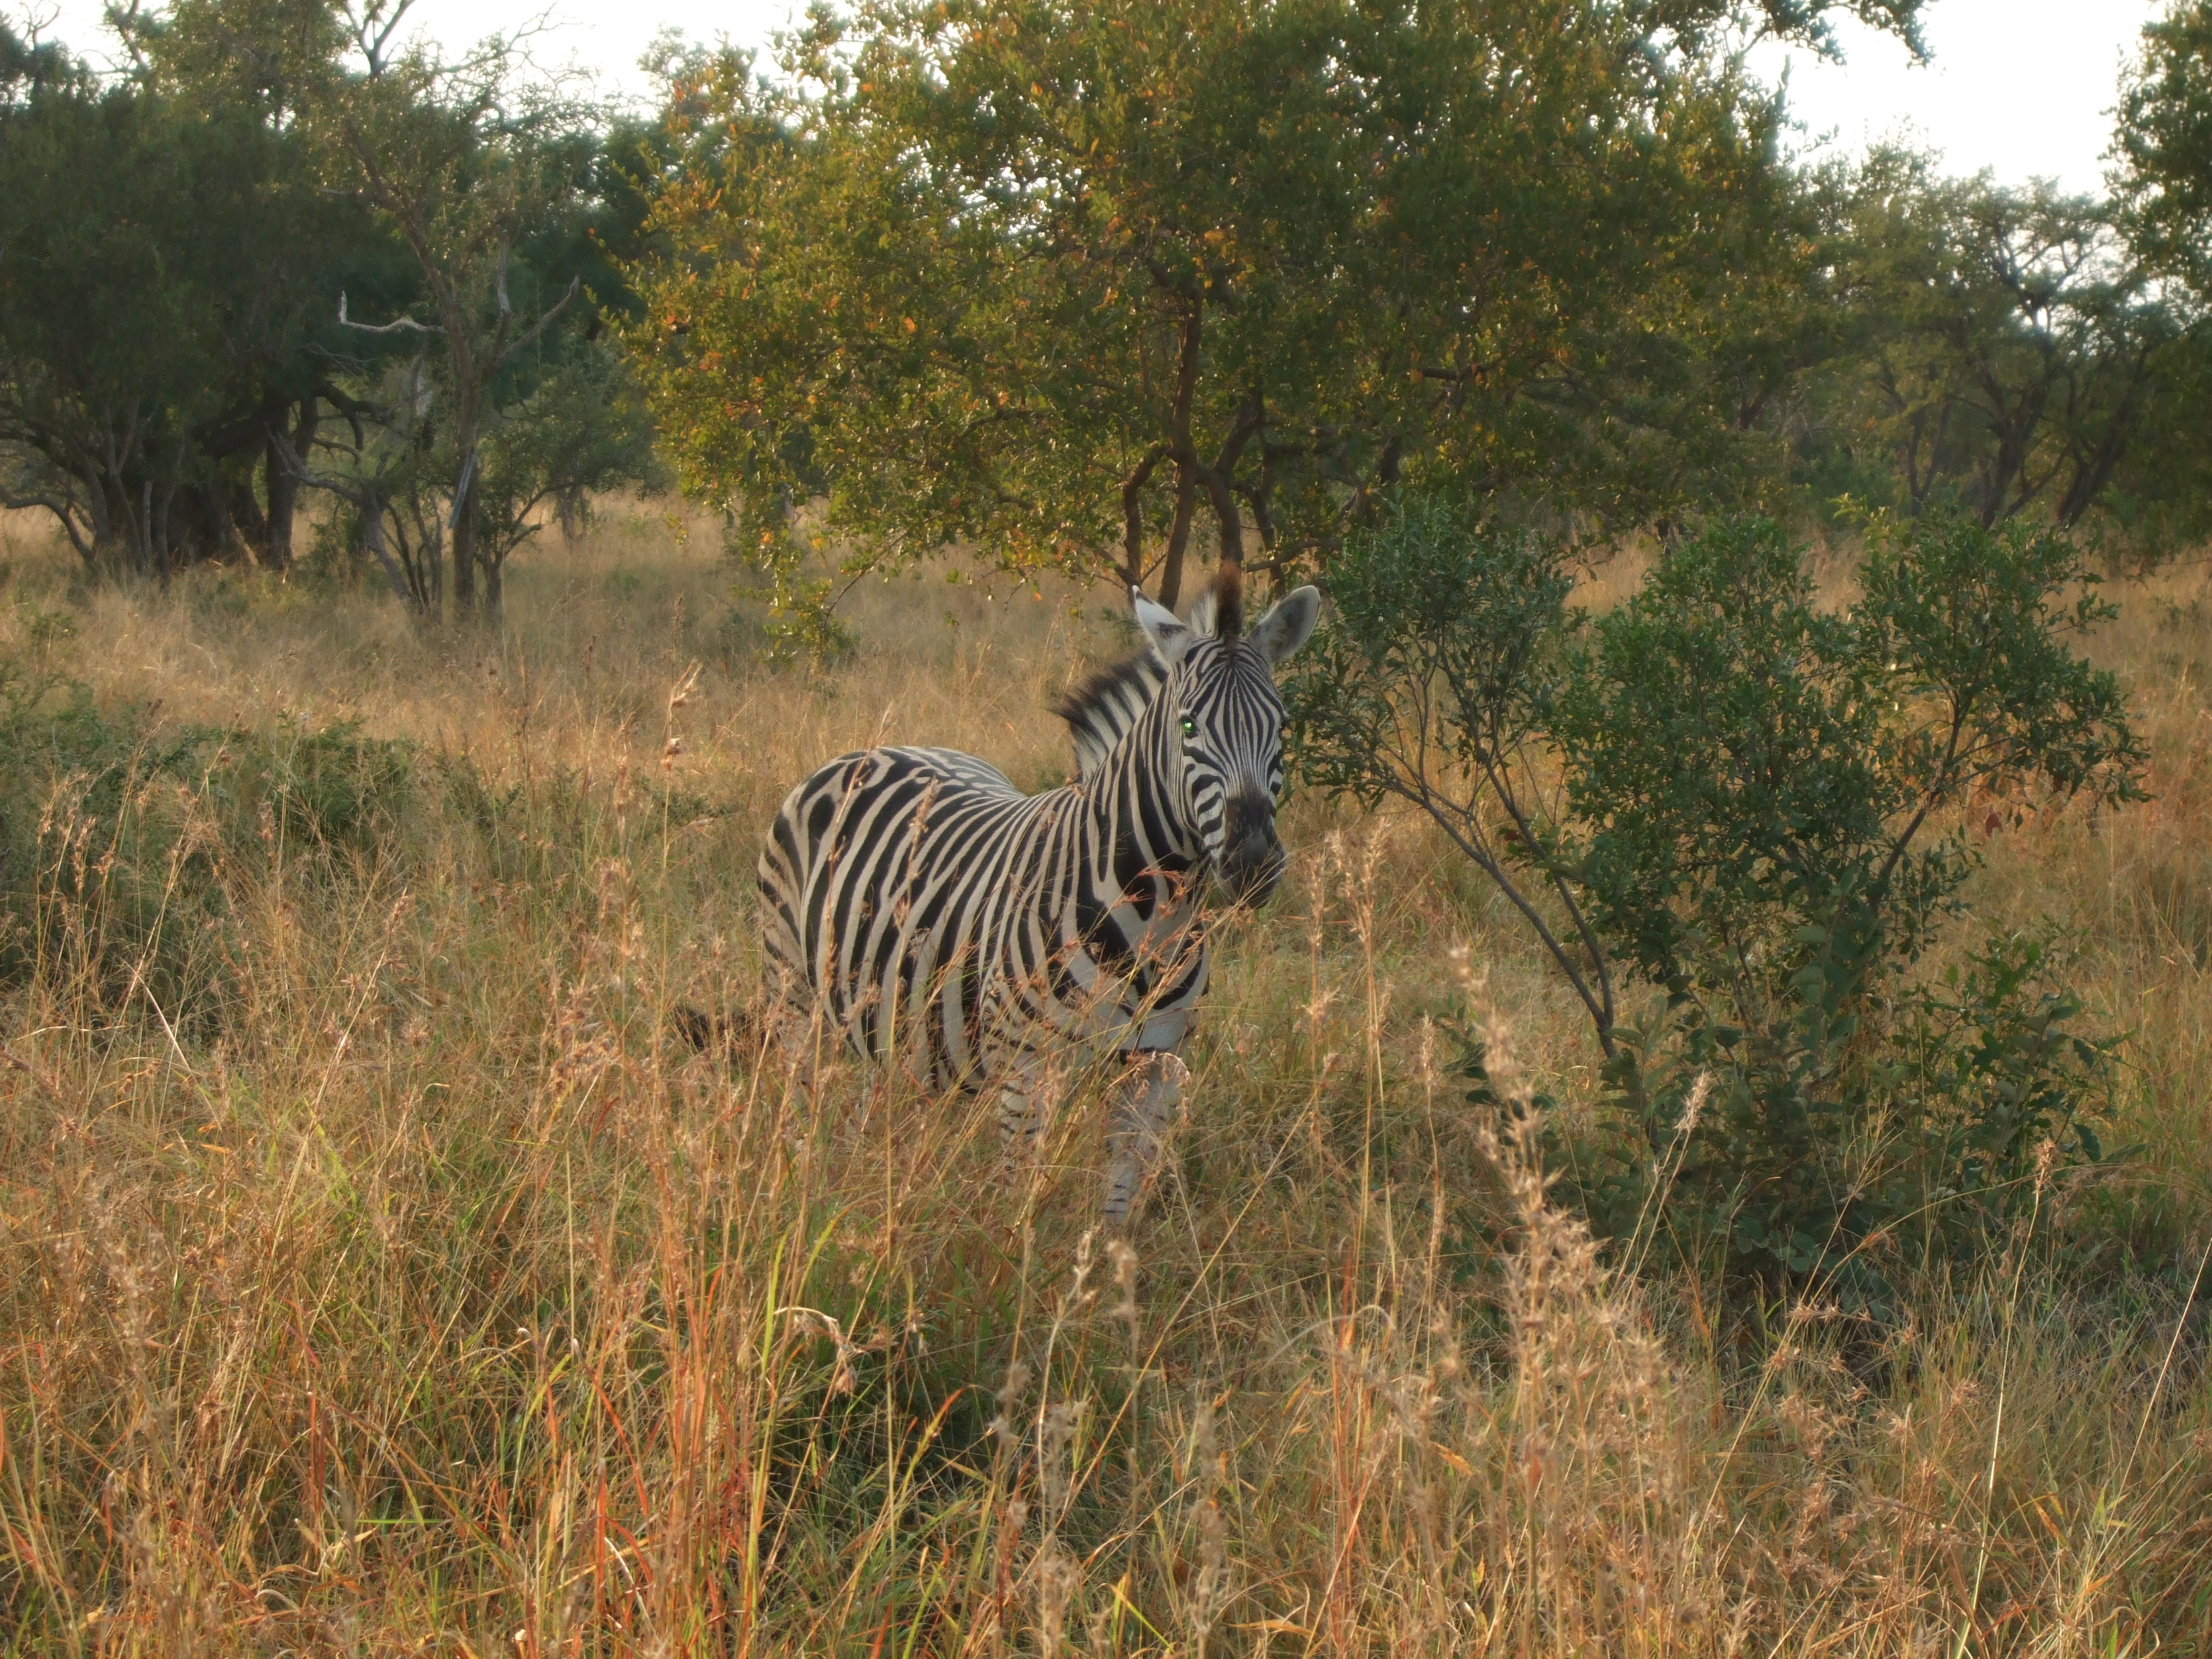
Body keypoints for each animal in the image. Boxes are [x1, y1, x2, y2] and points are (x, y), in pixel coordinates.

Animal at [760, 570, 1309, 1221]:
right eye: (1189, 728)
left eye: (1282, 728)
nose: (1254, 864)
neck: (1156, 922)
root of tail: (868, 749)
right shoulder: (1026, 1076)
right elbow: (1014, 1210)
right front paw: (1005, 1248)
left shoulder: (1153, 1074)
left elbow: (1117, 1214)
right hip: (793, 999)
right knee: (797, 1114)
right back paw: (799, 1199)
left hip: (884, 1016)